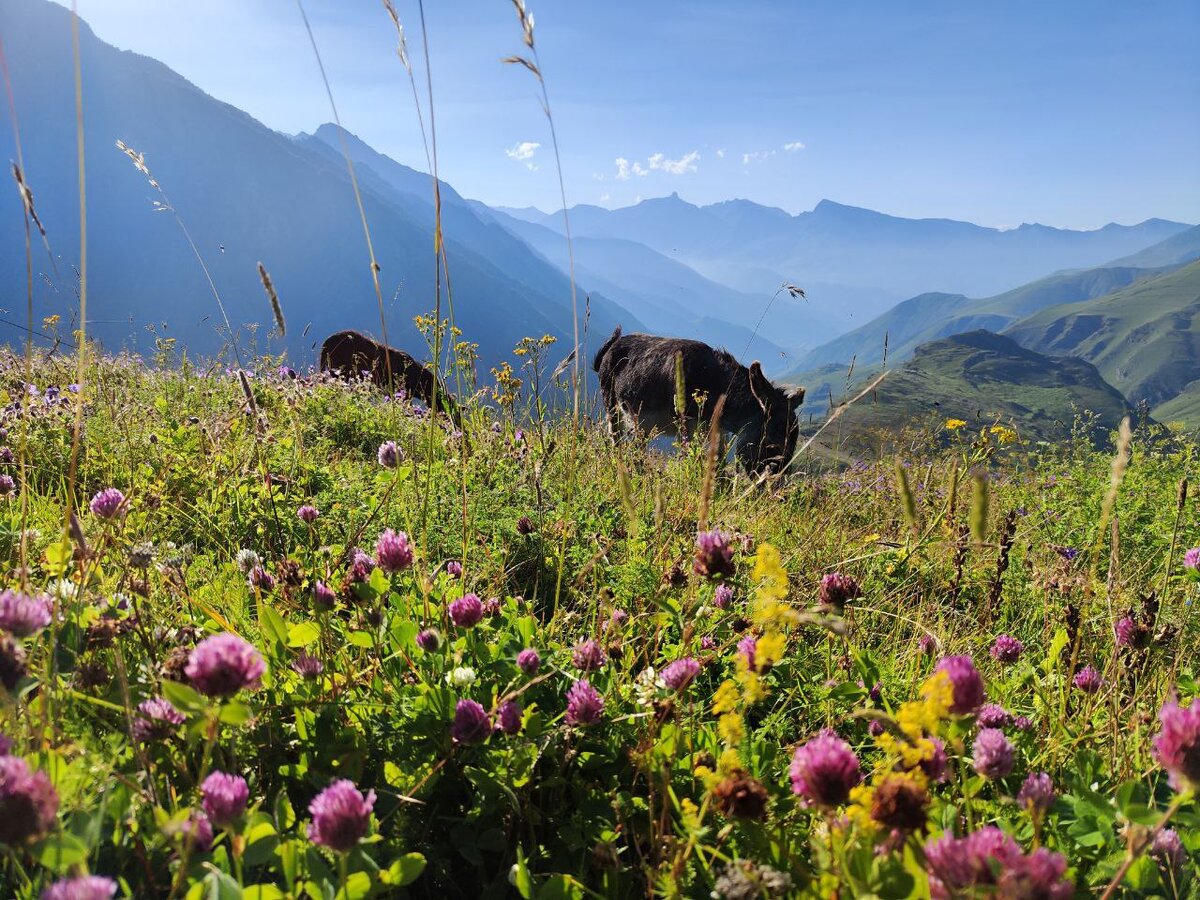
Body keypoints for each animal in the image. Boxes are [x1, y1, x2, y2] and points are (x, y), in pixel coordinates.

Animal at [592, 326, 806, 480]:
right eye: (774, 433)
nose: (775, 484)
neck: (715, 384)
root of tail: (612, 344)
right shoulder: (686, 425)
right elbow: (689, 455)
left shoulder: (717, 430)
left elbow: (718, 459)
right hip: (612, 407)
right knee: (617, 440)